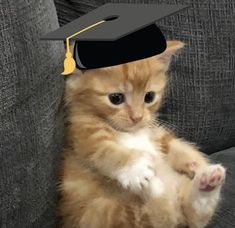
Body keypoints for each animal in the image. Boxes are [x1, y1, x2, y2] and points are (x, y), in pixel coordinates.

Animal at [60, 41, 226, 228]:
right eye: (116, 98)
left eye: (149, 97)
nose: (137, 117)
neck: (130, 131)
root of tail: (179, 221)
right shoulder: (81, 133)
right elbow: (104, 151)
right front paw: (136, 168)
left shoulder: (155, 133)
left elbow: (174, 146)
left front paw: (198, 163)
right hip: (103, 214)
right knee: (158, 214)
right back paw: (152, 183)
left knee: (194, 216)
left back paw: (207, 182)